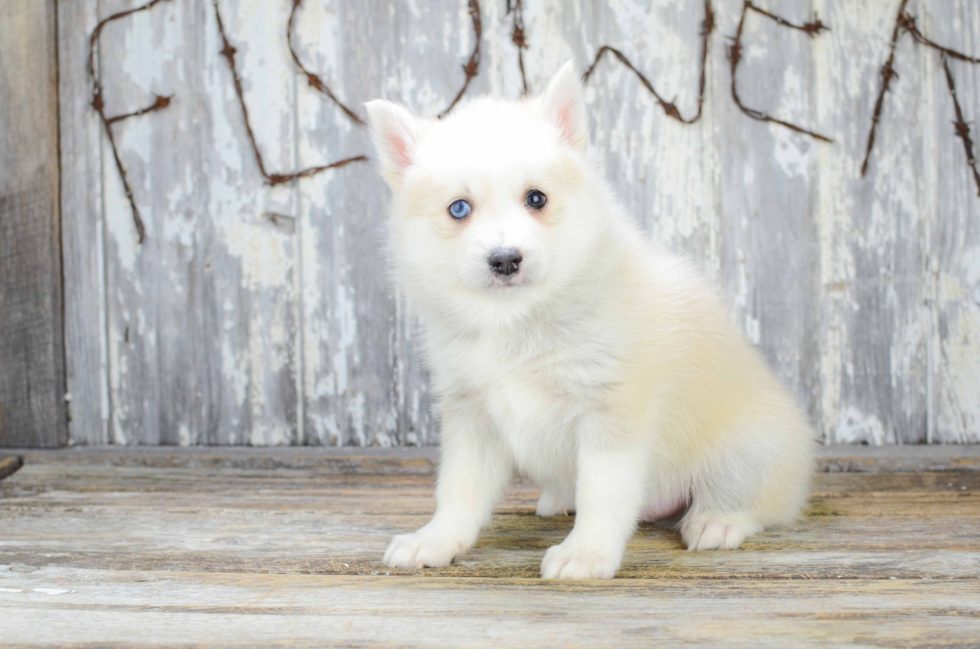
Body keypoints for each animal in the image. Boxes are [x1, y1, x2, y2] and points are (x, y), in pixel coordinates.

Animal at [364, 62, 816, 576]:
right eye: (459, 208)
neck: (519, 321)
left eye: (536, 199)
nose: (506, 260)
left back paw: (718, 520)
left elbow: (604, 492)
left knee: (754, 497)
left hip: (750, 447)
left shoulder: (611, 414)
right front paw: (435, 540)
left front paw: (587, 552)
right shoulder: (471, 415)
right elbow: (458, 491)